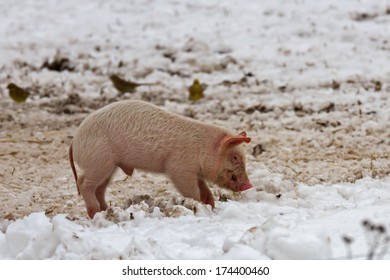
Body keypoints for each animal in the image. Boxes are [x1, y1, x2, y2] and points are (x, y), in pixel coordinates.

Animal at [69, 99, 253, 218]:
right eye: (235, 157)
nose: (249, 185)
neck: (204, 148)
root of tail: (75, 139)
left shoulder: (194, 171)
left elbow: (204, 188)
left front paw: (211, 204)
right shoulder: (179, 168)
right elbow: (192, 191)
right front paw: (198, 205)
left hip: (108, 167)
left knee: (99, 188)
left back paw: (104, 210)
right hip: (99, 161)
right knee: (83, 183)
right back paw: (94, 212)